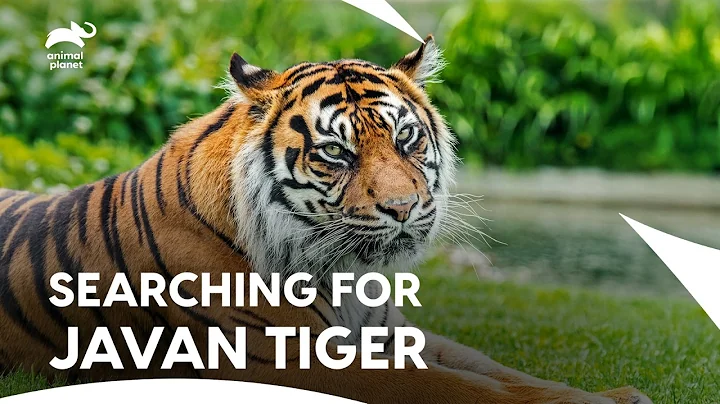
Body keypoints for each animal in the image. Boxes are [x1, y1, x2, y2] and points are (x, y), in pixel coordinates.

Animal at [0, 36, 652, 403]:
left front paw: (610, 395)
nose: (403, 207)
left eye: (406, 138)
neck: (344, 273)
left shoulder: (395, 334)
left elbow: (494, 369)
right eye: (336, 152)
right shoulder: (297, 363)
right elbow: (457, 388)